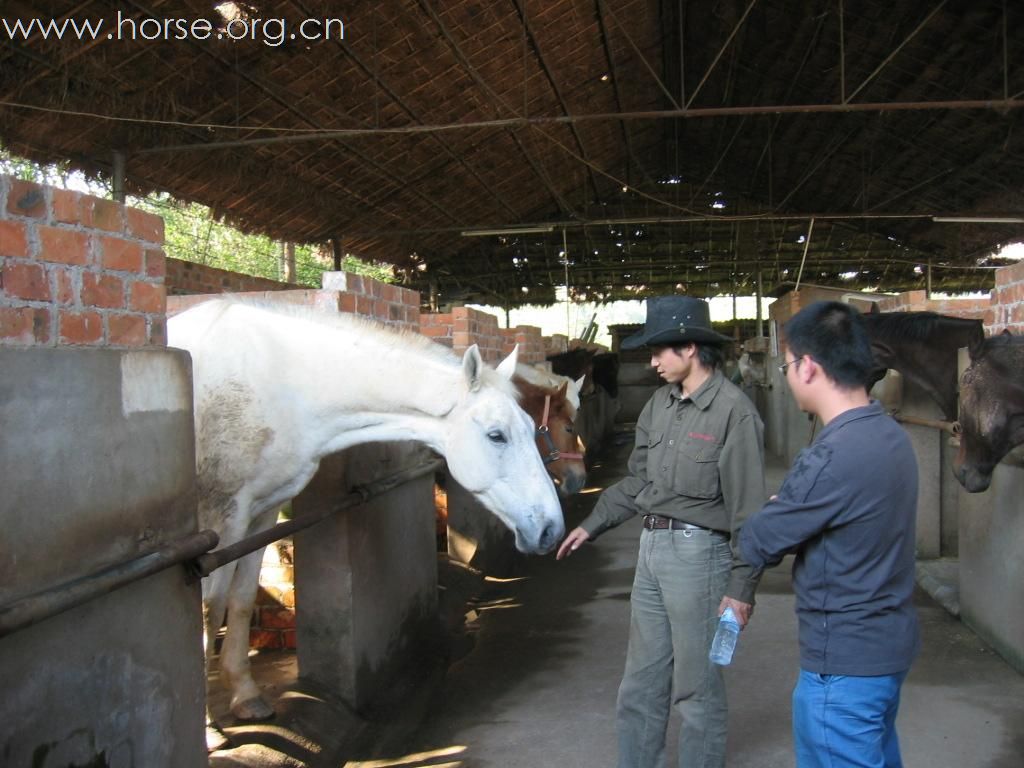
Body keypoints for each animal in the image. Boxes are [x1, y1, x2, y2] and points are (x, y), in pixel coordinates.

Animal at [171, 299, 565, 720]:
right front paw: (207, 719)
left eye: (531, 426)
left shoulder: (261, 514)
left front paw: (246, 695)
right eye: (496, 435)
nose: (551, 528)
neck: (281, 386)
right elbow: (209, 611)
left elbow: (242, 599)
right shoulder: (223, 517)